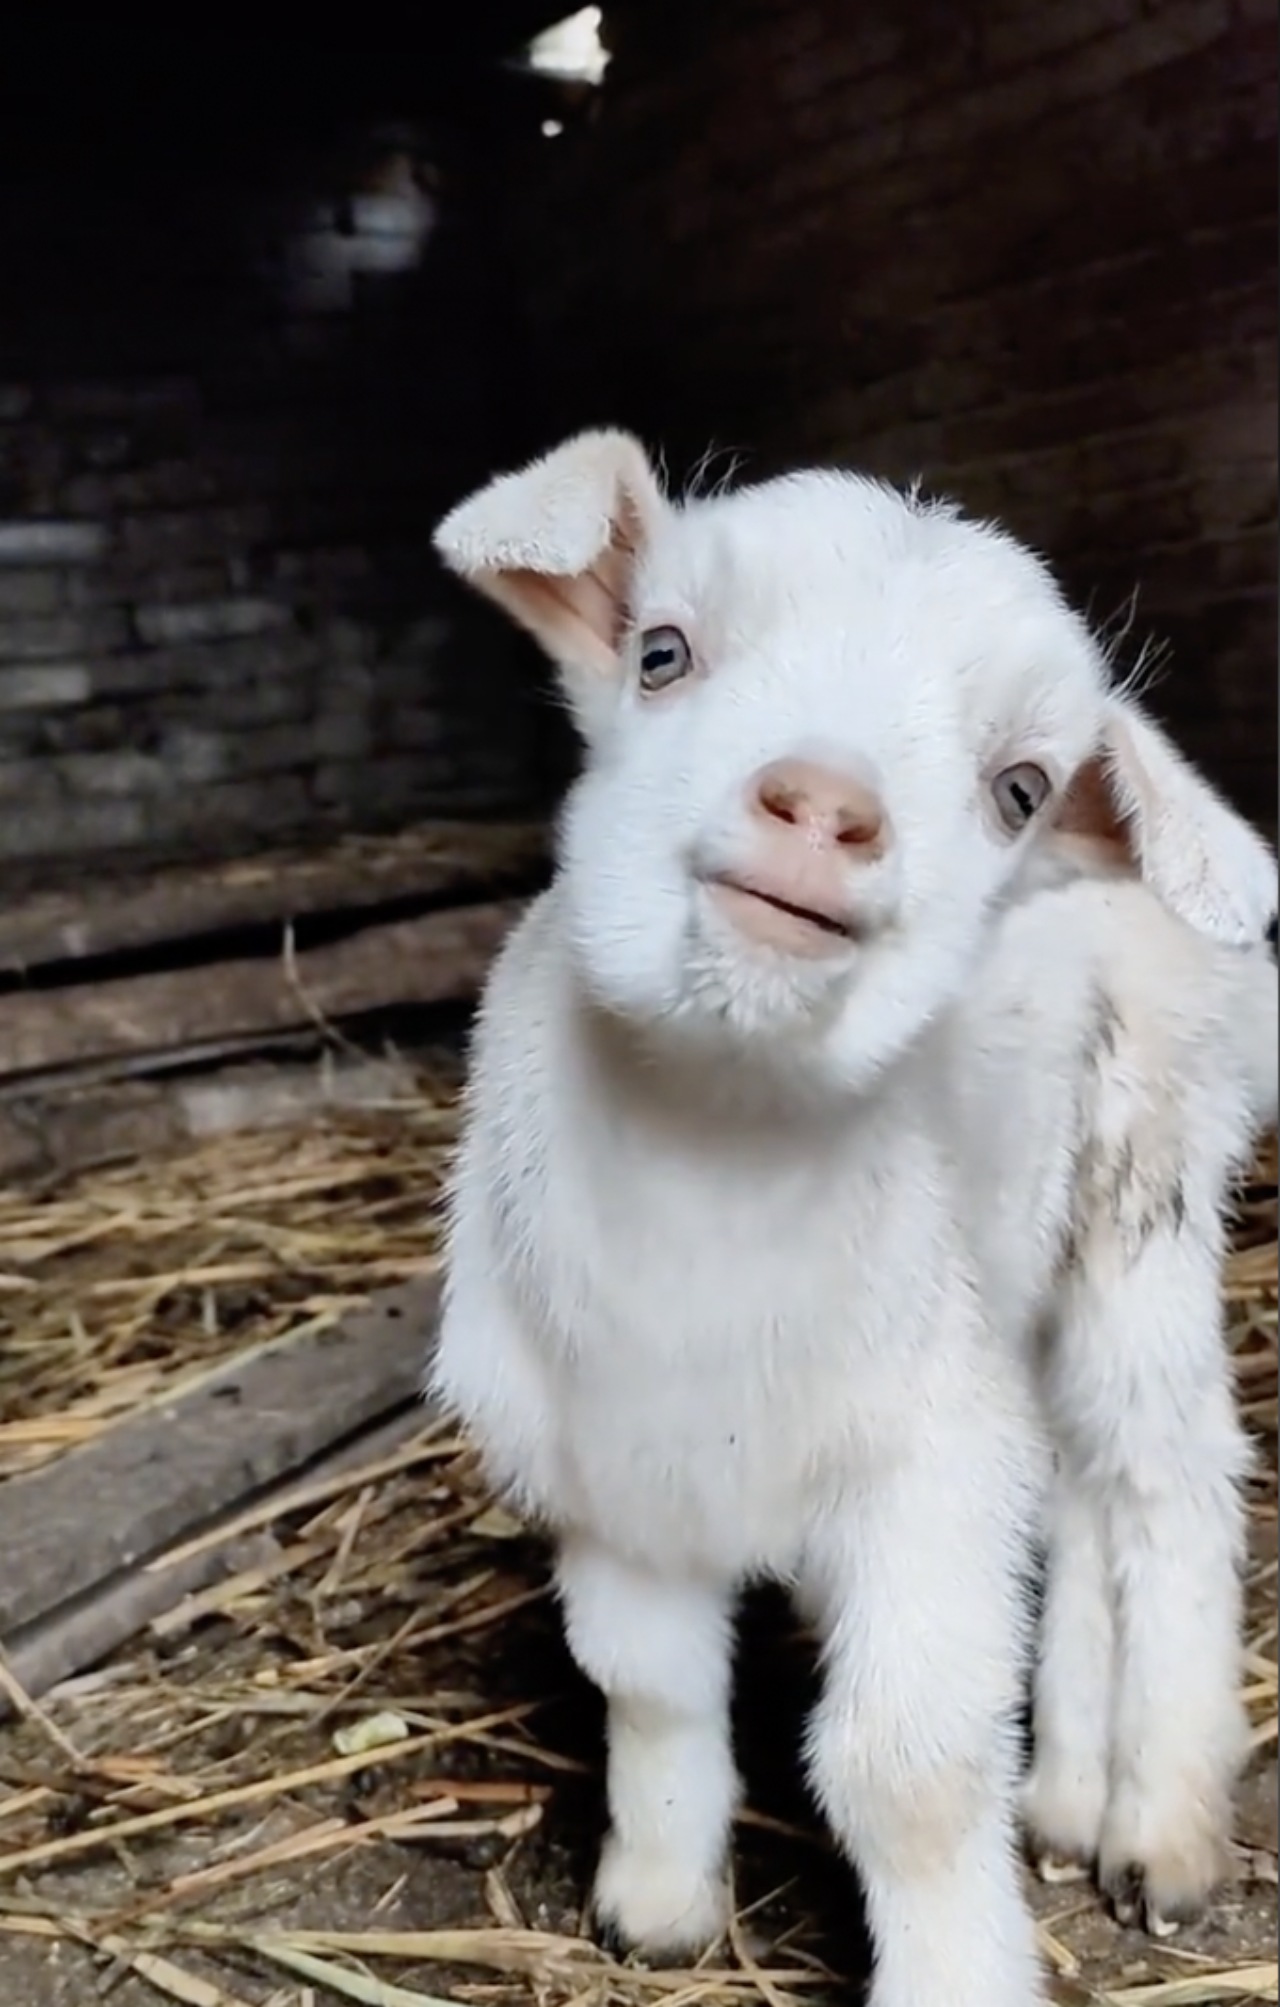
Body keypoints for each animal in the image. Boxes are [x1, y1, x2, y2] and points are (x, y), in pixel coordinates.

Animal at [425, 435, 1275, 2007]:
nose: (822, 807)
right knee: (1074, 1478)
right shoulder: (614, 1466)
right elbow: (648, 1682)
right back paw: (1067, 1790)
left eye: (1017, 787)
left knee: (1163, 1472)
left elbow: (908, 1770)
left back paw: (1163, 1822)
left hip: (1145, 1177)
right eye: (661, 651)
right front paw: (656, 1901)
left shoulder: (924, 1463)